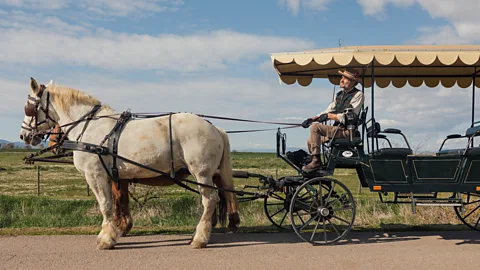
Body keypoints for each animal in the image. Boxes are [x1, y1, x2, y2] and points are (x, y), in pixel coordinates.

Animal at [19, 77, 240, 249]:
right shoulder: (113, 177)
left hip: (202, 173)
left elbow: (106, 205)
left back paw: (200, 238)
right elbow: (115, 203)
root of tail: (215, 127)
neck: (89, 127)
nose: (23, 135)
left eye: (29, 108)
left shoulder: (96, 175)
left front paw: (106, 239)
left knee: (210, 200)